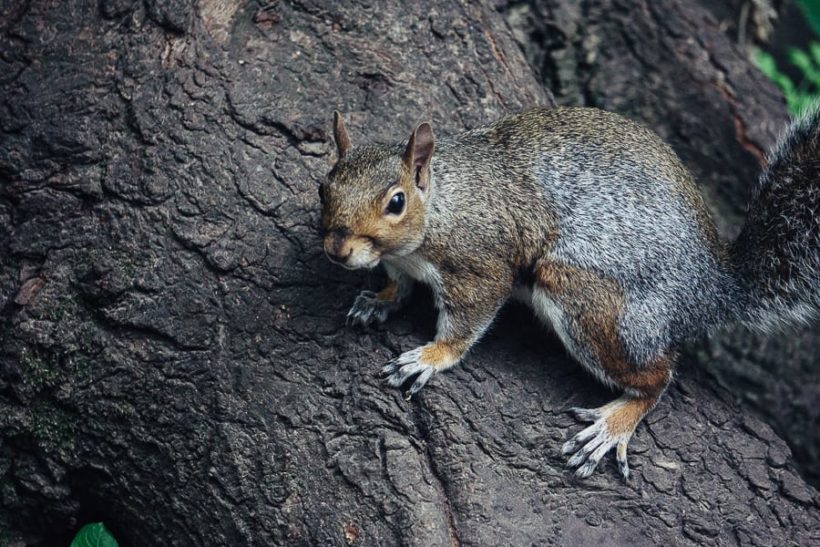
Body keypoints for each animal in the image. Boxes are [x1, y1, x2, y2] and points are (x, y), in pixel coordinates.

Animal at [318, 105, 819, 479]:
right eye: (324, 186)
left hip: (587, 300)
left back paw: (615, 424)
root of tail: (714, 286)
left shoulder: (481, 265)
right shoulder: (399, 263)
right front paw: (379, 300)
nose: (337, 250)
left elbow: (467, 322)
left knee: (658, 378)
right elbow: (397, 285)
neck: (443, 204)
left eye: (396, 202)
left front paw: (430, 357)